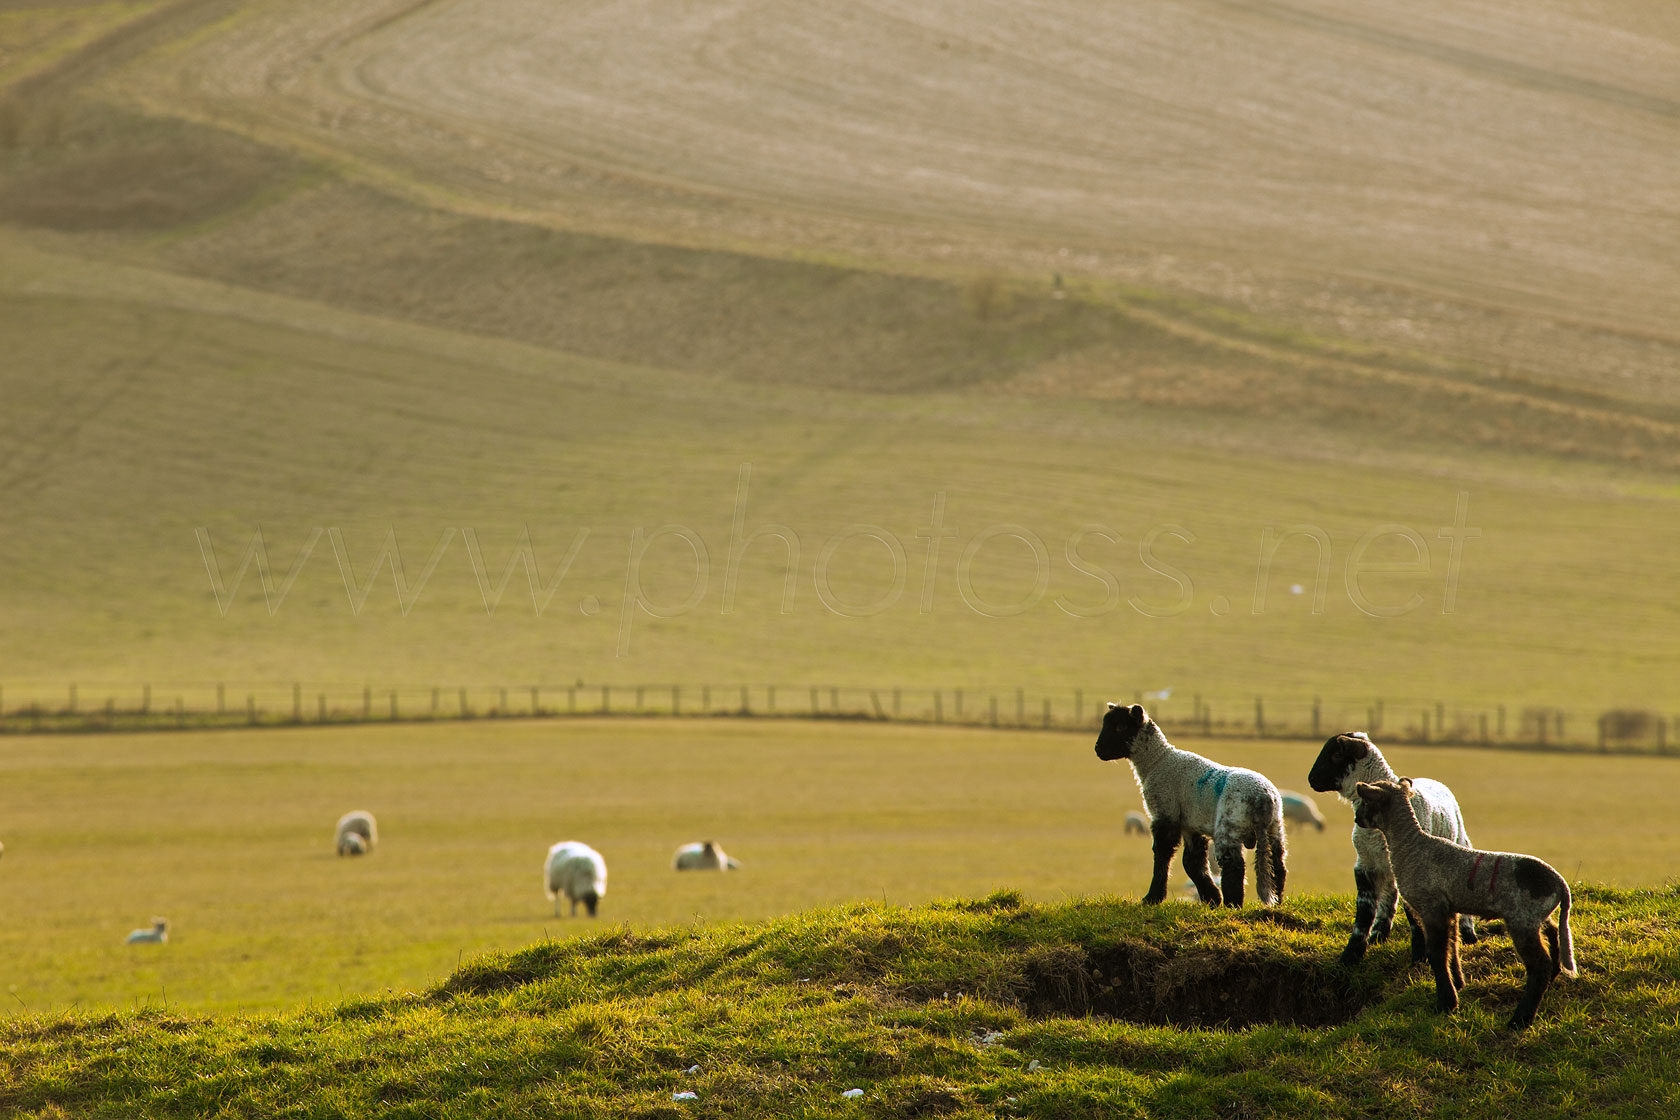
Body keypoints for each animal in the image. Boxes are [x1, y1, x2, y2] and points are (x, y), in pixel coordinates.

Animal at [1088, 705, 1283, 906]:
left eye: (1120, 726)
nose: (1098, 749)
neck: (1157, 761)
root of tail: (1263, 798)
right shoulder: (1190, 824)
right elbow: (1192, 862)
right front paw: (1211, 898)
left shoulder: (1165, 811)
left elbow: (1163, 854)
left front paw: (1153, 898)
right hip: (1276, 827)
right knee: (1278, 866)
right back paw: (1277, 901)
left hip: (1230, 824)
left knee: (1234, 866)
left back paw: (1233, 905)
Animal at [1303, 735, 1478, 967]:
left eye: (1337, 754)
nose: (1311, 779)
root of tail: (1433, 780)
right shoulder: (1365, 864)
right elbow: (1365, 910)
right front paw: (1351, 954)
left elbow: (1414, 916)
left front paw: (1420, 956)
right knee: (1389, 894)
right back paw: (1379, 933)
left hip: (1459, 841)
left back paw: (1468, 934)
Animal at [1350, 779, 1572, 1034]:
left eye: (1367, 801)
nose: (1357, 818)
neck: (1410, 846)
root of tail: (1559, 883)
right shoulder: (1449, 909)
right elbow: (1452, 947)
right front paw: (1458, 983)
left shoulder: (1432, 907)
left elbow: (1436, 952)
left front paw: (1446, 1003)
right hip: (1537, 916)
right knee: (1553, 932)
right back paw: (1554, 975)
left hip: (1522, 919)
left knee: (1539, 965)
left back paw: (1521, 1019)